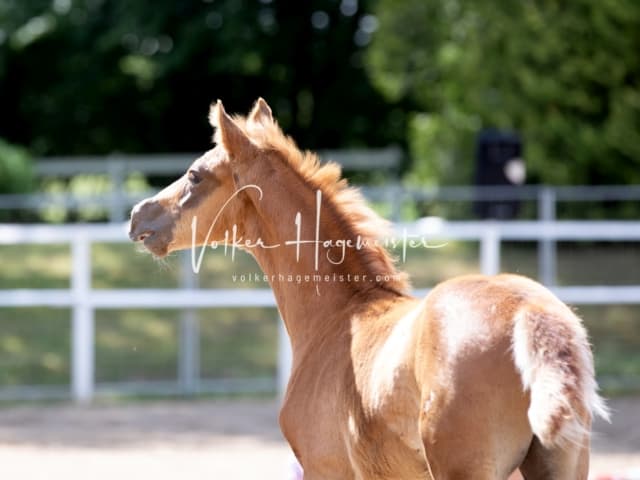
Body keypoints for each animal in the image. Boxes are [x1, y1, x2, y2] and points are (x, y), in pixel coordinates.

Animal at [129, 99, 604, 478]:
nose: (138, 215)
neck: (341, 315)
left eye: (195, 175)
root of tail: (527, 312)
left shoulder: (324, 468)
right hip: (561, 464)